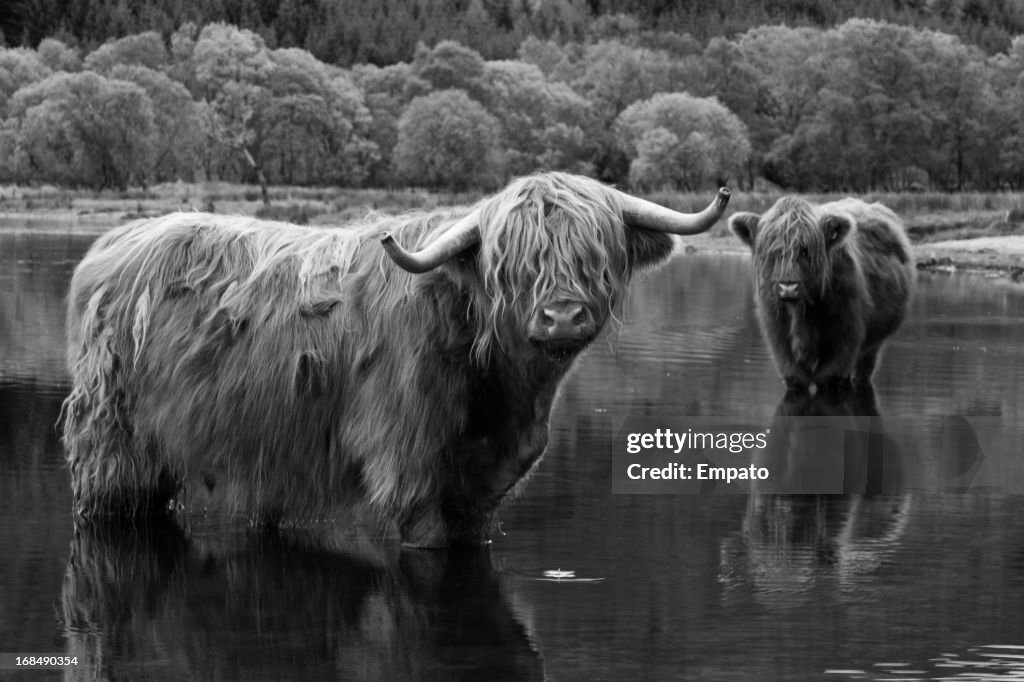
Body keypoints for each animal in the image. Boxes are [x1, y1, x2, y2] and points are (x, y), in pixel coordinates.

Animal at [61, 171, 729, 548]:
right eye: (511, 264)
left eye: (596, 252)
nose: (562, 315)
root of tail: (111, 245)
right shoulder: (409, 472)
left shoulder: (479, 490)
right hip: (111, 449)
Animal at [733, 195, 917, 393]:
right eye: (772, 251)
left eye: (805, 250)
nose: (788, 287)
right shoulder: (779, 340)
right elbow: (796, 377)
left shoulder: (846, 339)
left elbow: (829, 379)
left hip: (874, 344)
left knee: (863, 372)